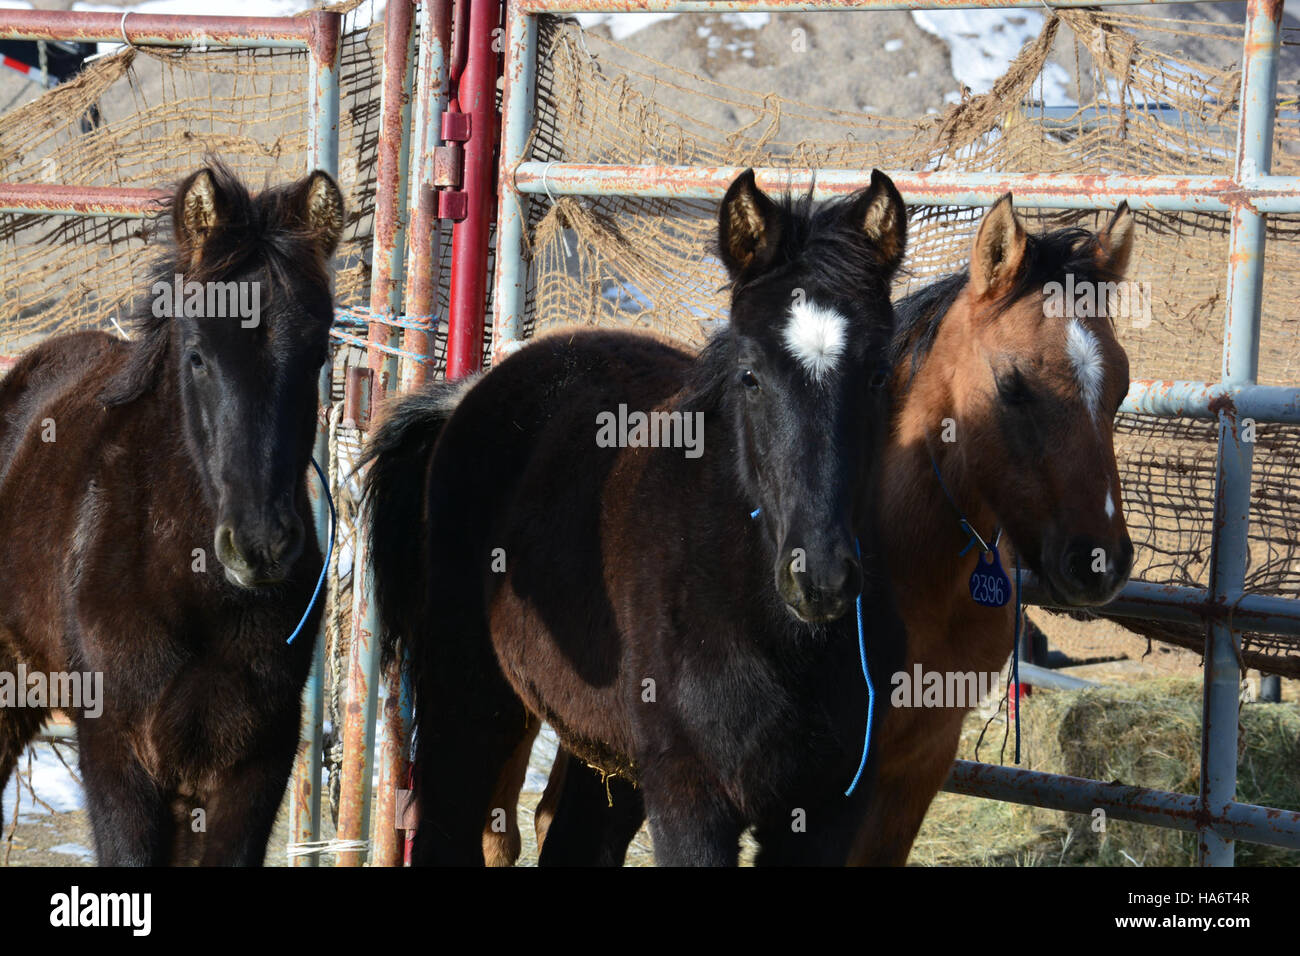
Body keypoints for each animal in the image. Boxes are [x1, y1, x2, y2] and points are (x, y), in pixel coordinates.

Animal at [363, 169, 910, 866]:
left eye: (878, 375)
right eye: (750, 374)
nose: (820, 579)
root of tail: (466, 395)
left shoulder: (830, 807)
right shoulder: (689, 795)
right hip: (470, 702)